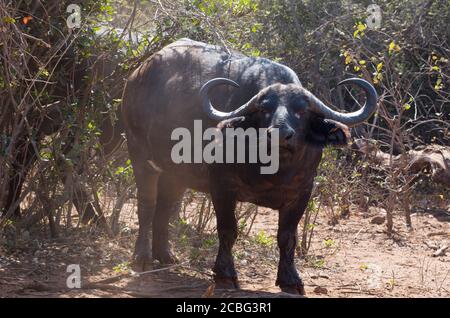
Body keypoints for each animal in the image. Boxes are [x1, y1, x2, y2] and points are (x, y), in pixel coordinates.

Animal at [122, 38, 376, 294]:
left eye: (301, 110)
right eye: (265, 109)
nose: (280, 134)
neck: (274, 170)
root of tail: (138, 73)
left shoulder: (302, 192)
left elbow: (287, 236)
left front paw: (290, 280)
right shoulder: (221, 186)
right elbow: (228, 229)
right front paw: (225, 275)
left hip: (175, 175)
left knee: (165, 206)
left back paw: (165, 255)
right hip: (139, 154)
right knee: (147, 205)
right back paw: (142, 258)